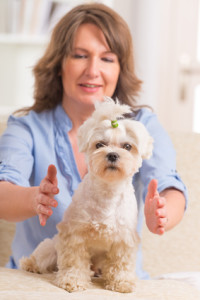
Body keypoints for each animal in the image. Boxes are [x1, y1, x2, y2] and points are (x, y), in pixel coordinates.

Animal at [20, 98, 154, 292]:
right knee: (42, 258)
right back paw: (30, 264)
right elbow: (74, 261)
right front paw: (73, 280)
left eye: (128, 146)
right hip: (51, 247)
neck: (108, 191)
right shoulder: (75, 234)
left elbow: (120, 263)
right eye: (100, 144)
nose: (112, 155)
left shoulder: (123, 238)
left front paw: (122, 282)